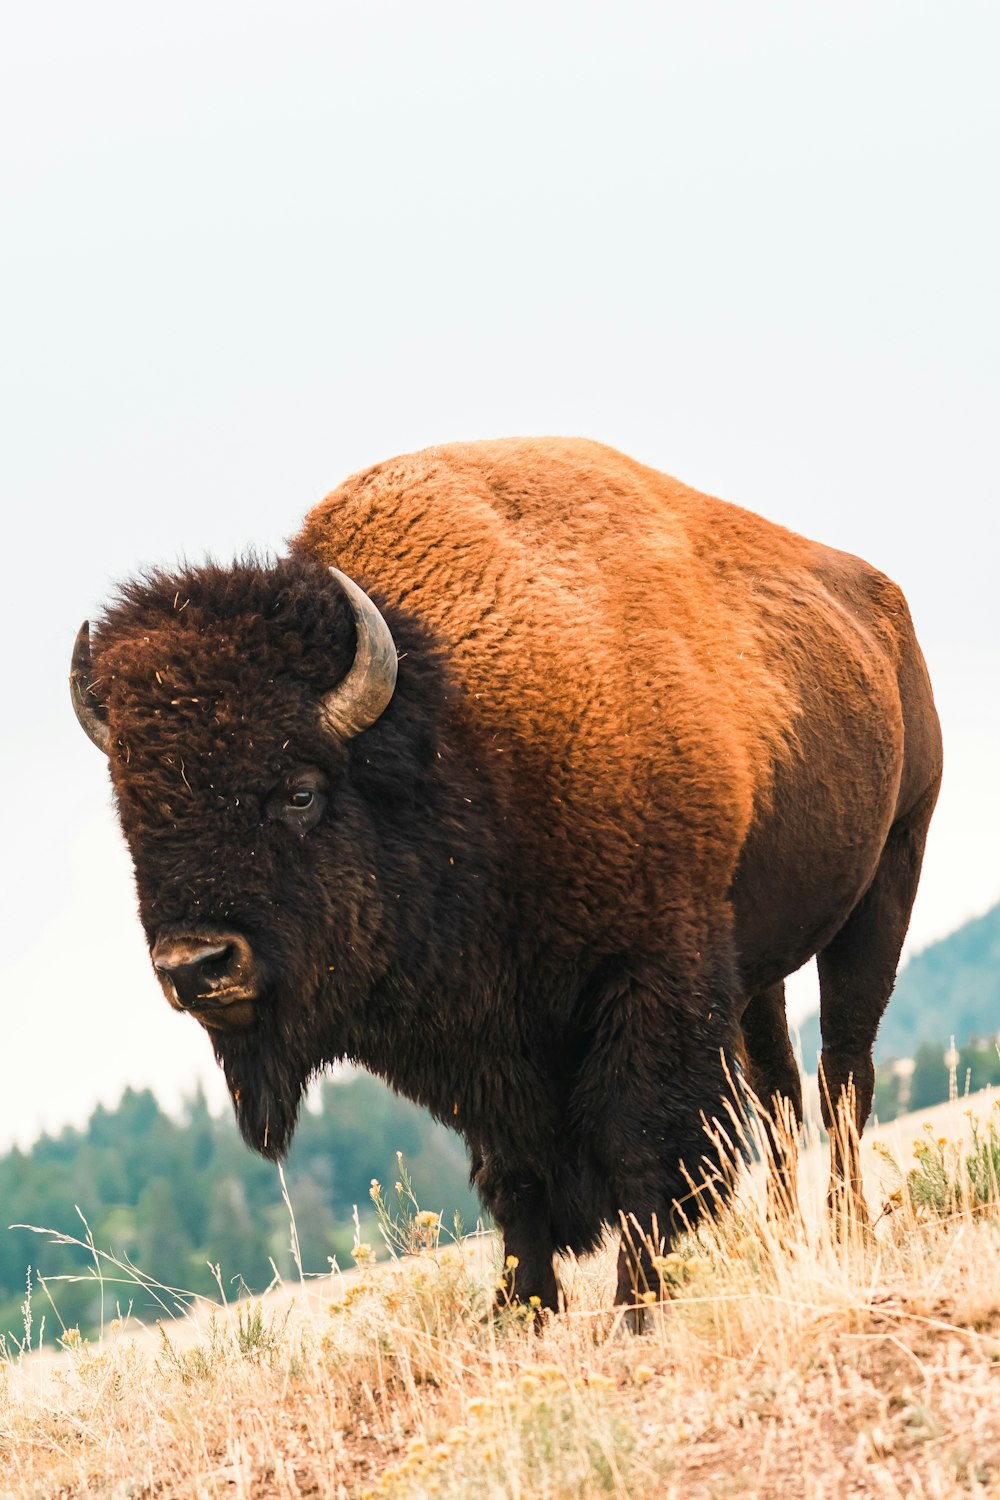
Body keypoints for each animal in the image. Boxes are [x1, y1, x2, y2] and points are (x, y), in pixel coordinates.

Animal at [72, 435, 947, 1314]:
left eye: (299, 791)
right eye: (133, 817)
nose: (198, 965)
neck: (456, 739)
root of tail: (888, 610)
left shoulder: (653, 975)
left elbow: (642, 1151)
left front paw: (632, 1308)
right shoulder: (482, 1039)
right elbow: (515, 1176)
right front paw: (523, 1308)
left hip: (889, 876)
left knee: (843, 1072)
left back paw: (846, 1231)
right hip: (759, 964)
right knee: (781, 1089)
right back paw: (790, 1240)